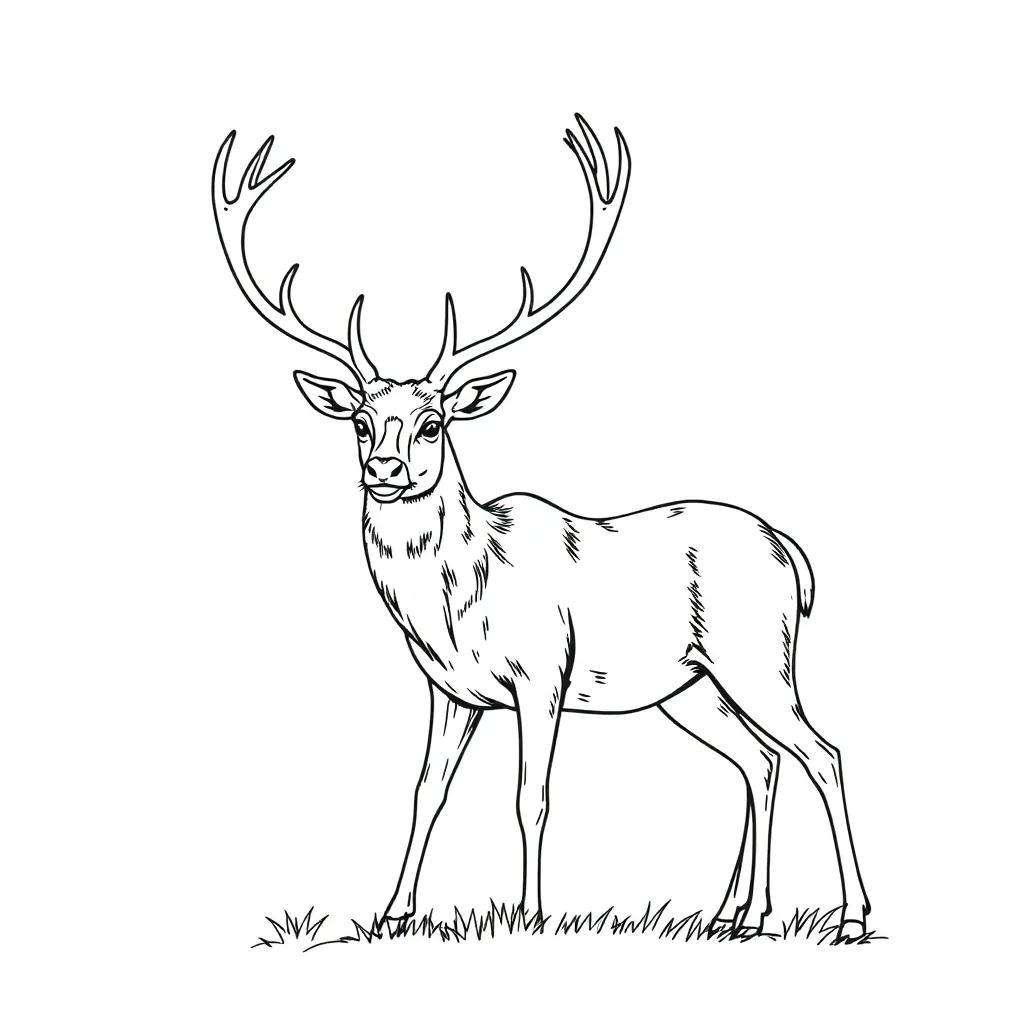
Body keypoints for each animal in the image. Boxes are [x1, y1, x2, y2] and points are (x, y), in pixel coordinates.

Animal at [211, 116, 871, 939]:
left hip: (757, 655)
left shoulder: (542, 674)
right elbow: (426, 790)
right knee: (760, 762)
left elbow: (533, 797)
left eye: (433, 424)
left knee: (823, 754)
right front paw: (393, 912)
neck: (459, 602)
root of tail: (792, 554)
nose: (386, 470)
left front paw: (528, 912)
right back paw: (739, 914)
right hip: (693, 686)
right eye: (362, 422)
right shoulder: (451, 692)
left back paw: (849, 915)